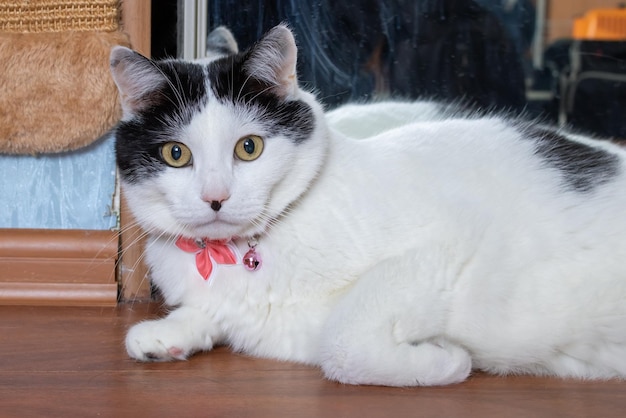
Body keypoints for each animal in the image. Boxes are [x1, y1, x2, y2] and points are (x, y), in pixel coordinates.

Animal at [109, 24, 624, 386]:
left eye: (249, 148)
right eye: (177, 154)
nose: (215, 197)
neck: (241, 255)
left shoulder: (440, 247)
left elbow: (342, 345)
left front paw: (450, 360)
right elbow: (205, 315)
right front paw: (164, 334)